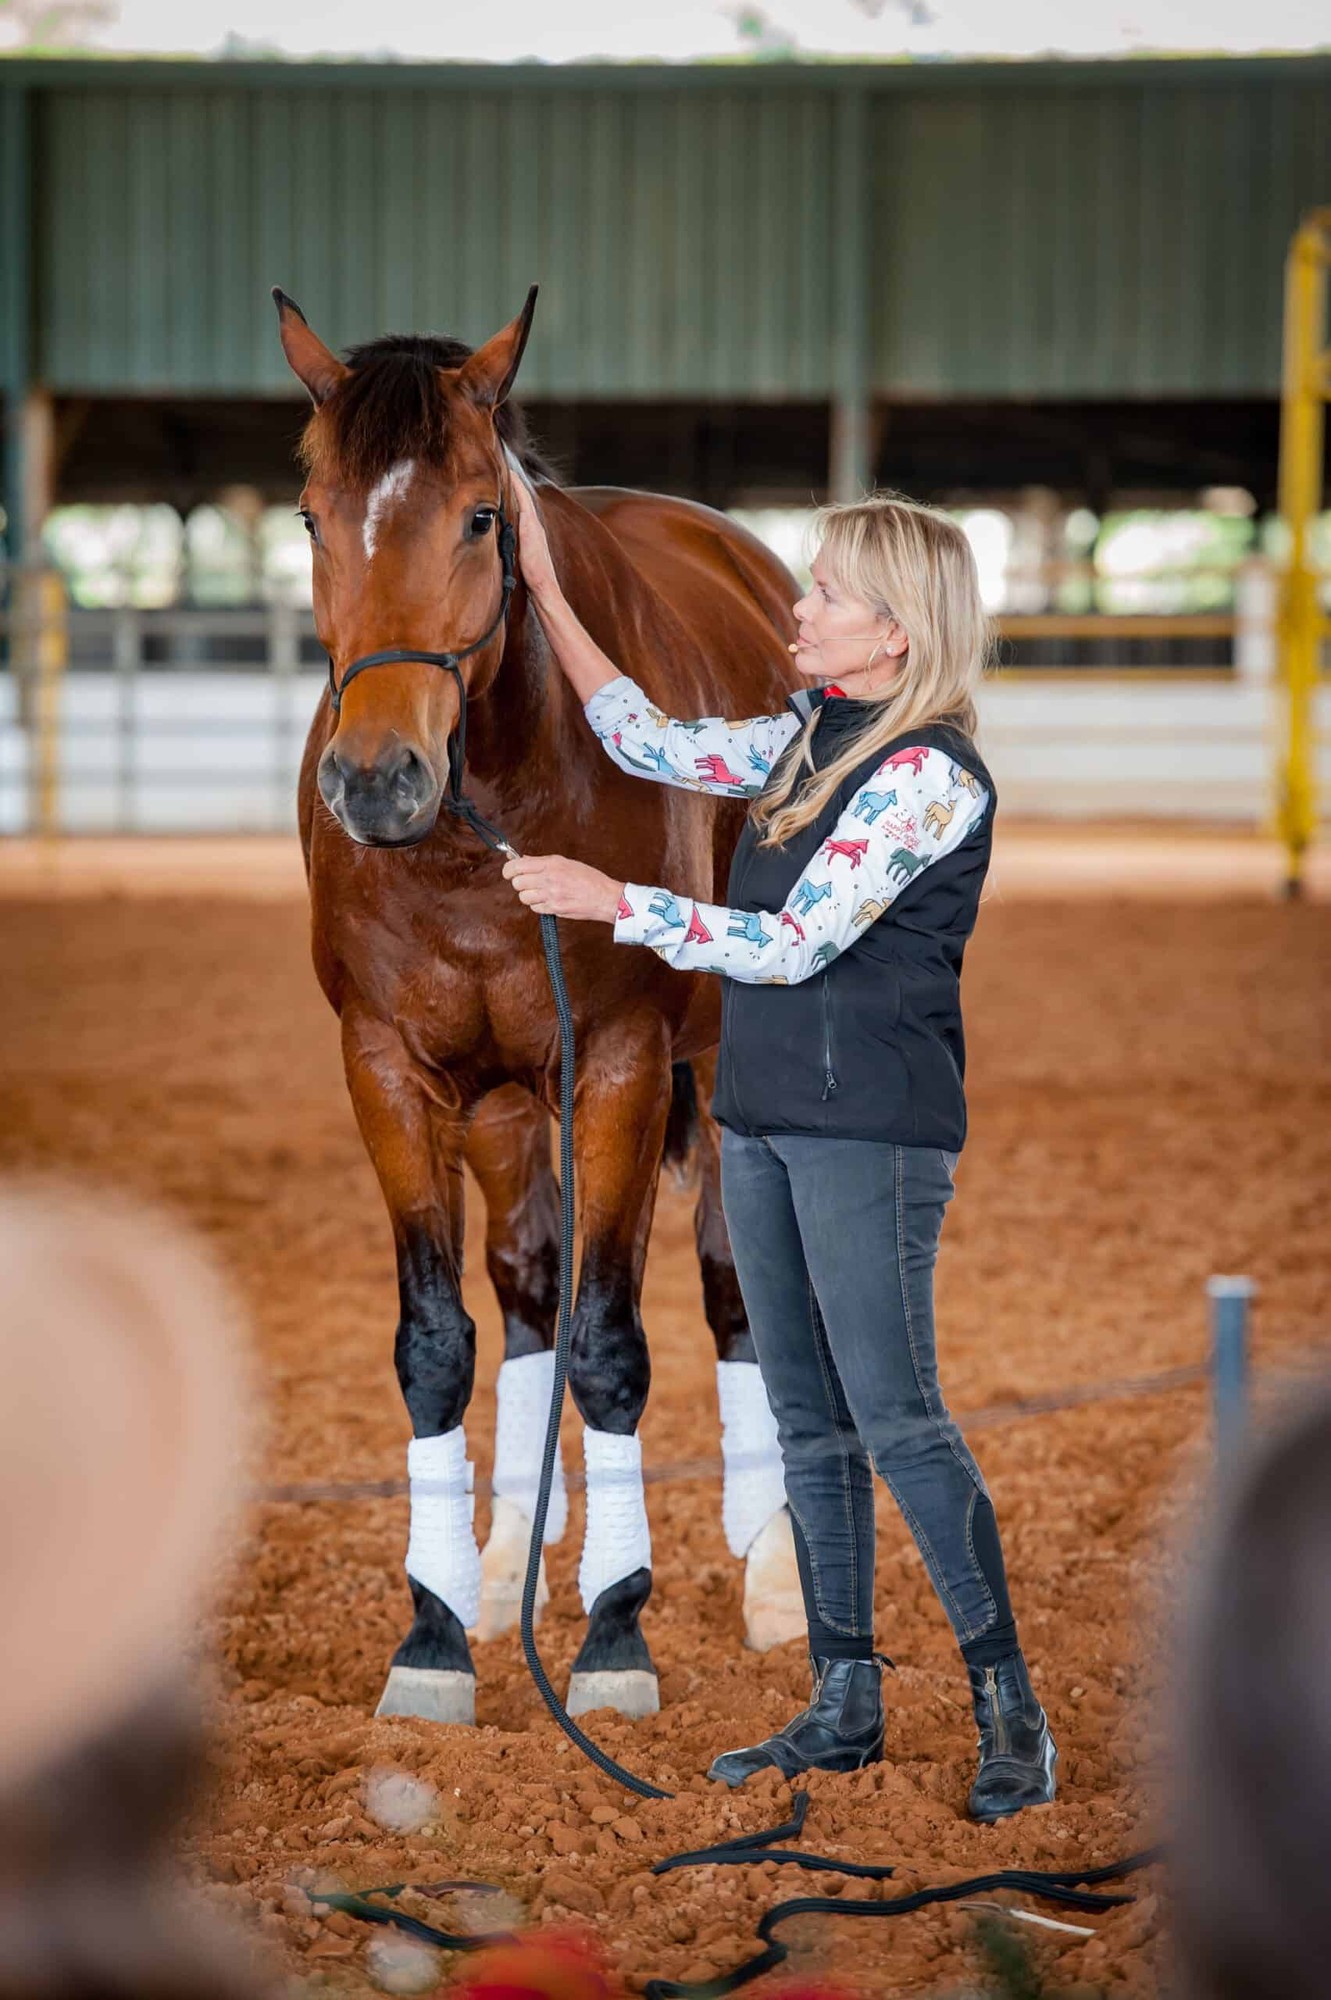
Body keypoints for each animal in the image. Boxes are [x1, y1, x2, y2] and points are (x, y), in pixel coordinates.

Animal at [275, 285, 806, 1725]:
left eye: (478, 513)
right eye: (310, 512)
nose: (378, 780)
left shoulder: (616, 1064)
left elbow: (613, 1341)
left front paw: (616, 1633)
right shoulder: (389, 1071)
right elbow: (438, 1341)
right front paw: (434, 1630)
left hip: (708, 1071)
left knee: (734, 1292)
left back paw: (773, 1564)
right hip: (507, 1103)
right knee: (522, 1286)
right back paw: (508, 1539)